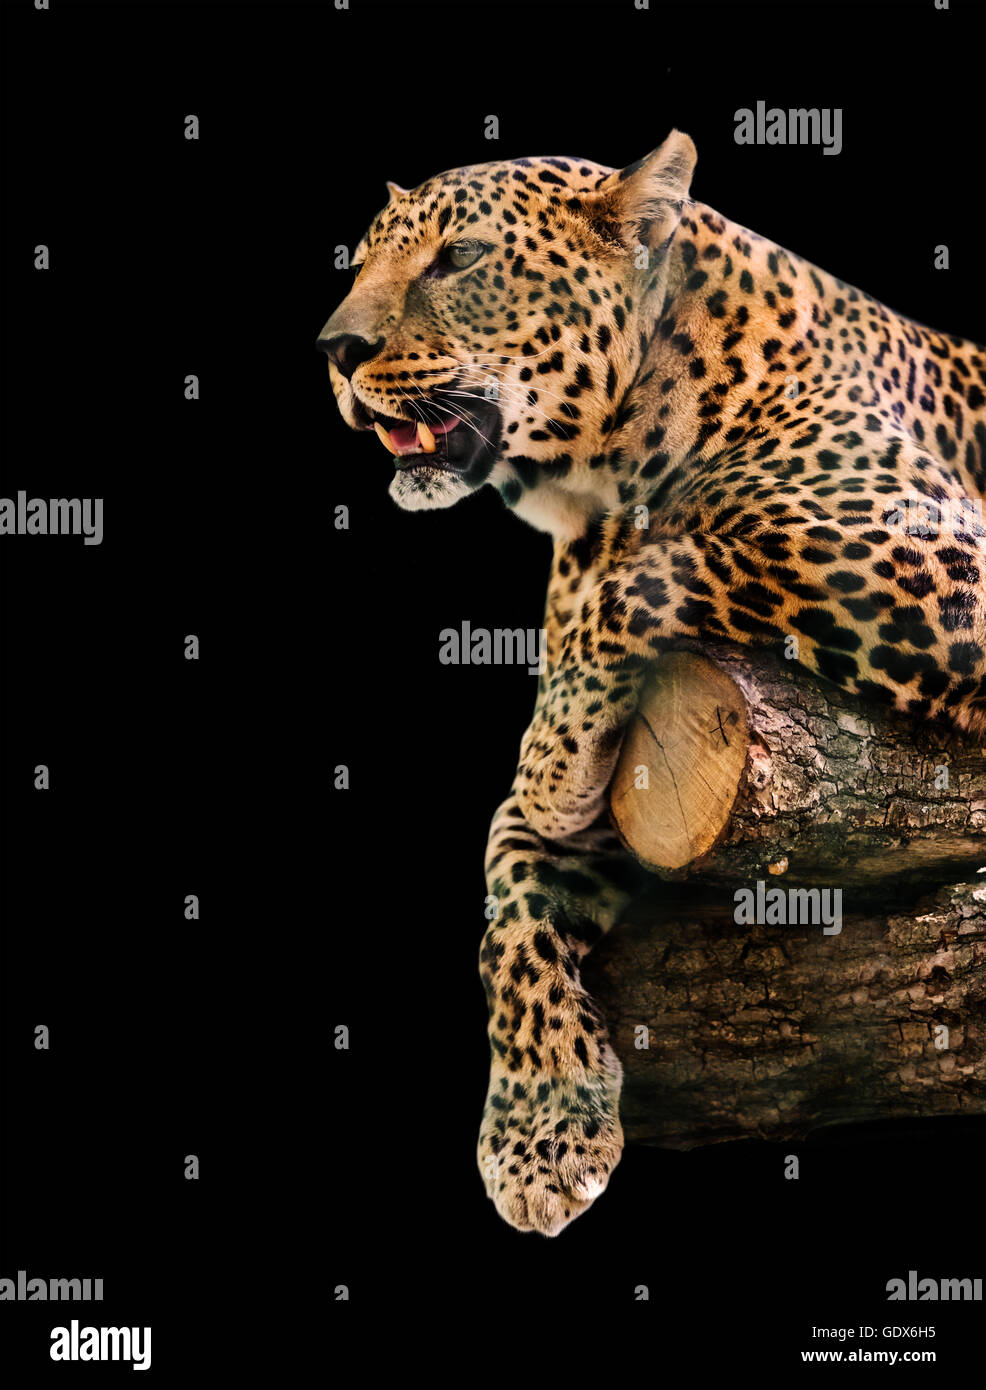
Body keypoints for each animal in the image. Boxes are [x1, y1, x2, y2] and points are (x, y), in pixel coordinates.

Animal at [317, 130, 986, 1236]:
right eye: (361, 263)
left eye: (458, 259)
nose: (333, 350)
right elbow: (506, 919)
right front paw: (541, 1135)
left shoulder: (939, 554)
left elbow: (695, 547)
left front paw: (554, 757)